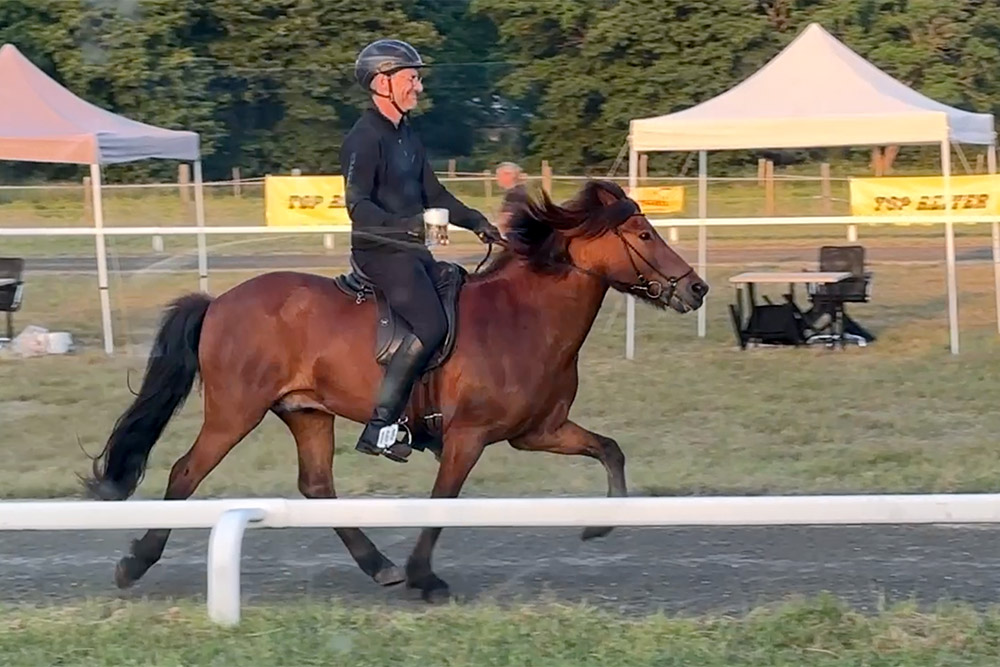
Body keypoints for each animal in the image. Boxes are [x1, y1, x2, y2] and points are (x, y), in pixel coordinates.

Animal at [88, 180, 712, 604]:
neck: (525, 317)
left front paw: (600, 524)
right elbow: (443, 503)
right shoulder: (468, 437)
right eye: (643, 234)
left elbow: (610, 449)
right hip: (234, 413)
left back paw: (379, 565)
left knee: (317, 487)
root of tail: (218, 301)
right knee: (184, 473)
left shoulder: (540, 432)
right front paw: (426, 577)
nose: (697, 289)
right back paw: (134, 562)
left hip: (306, 412)